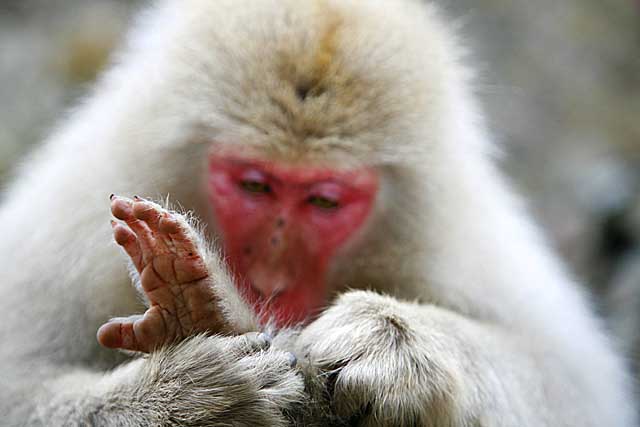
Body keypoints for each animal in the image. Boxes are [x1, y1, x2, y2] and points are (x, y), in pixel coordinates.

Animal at [0, 0, 636, 427]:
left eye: (324, 201)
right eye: (255, 186)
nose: (272, 282)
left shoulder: (453, 234)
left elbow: (573, 384)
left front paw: (393, 344)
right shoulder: (75, 214)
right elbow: (16, 384)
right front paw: (192, 399)